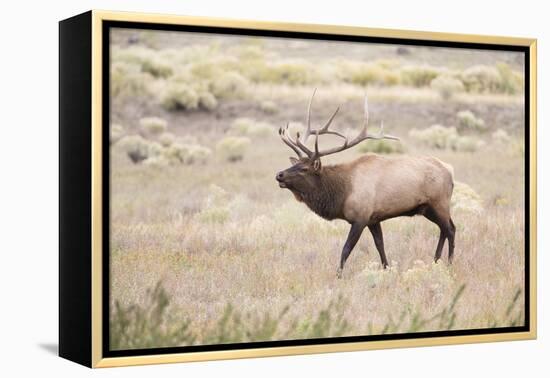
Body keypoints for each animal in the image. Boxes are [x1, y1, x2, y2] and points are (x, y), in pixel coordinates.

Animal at [276, 89, 458, 278]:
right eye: (294, 164)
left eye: (304, 168)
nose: (279, 175)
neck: (342, 193)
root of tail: (450, 171)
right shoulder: (373, 219)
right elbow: (380, 245)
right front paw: (386, 269)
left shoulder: (360, 218)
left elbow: (346, 249)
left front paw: (338, 276)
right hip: (427, 209)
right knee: (444, 229)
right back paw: (436, 260)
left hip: (439, 203)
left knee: (451, 229)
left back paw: (449, 264)